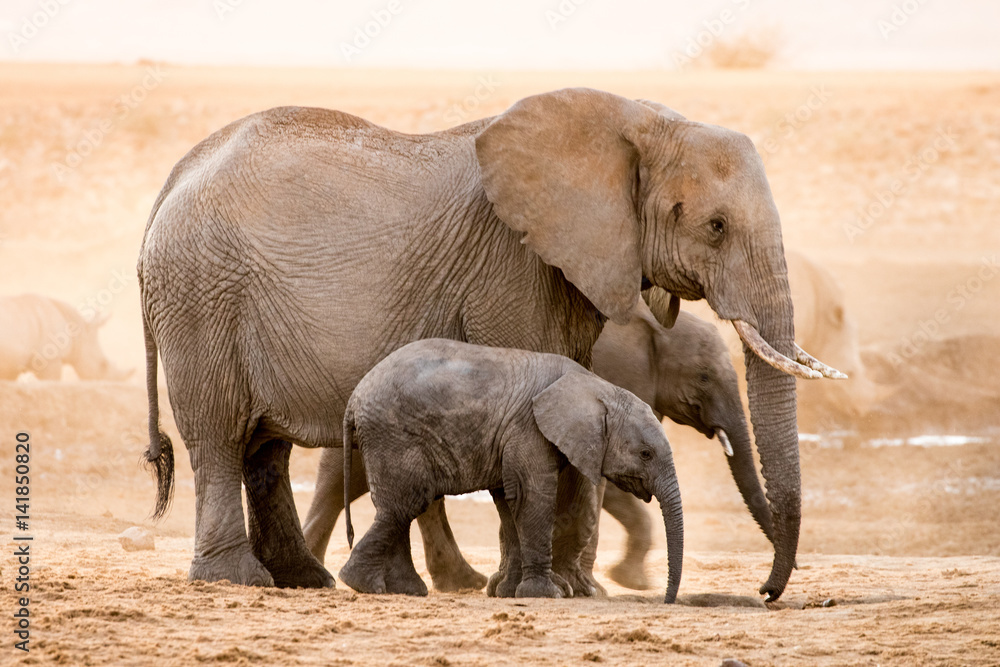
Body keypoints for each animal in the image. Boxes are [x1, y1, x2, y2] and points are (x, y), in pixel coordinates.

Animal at [337, 338, 684, 602]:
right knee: (405, 504)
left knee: (399, 508)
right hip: (394, 436)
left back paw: (402, 590)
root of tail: (353, 400)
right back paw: (361, 584)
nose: (666, 600)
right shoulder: (528, 428)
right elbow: (533, 497)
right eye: (646, 454)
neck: (597, 387)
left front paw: (508, 592)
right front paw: (549, 594)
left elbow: (509, 501)